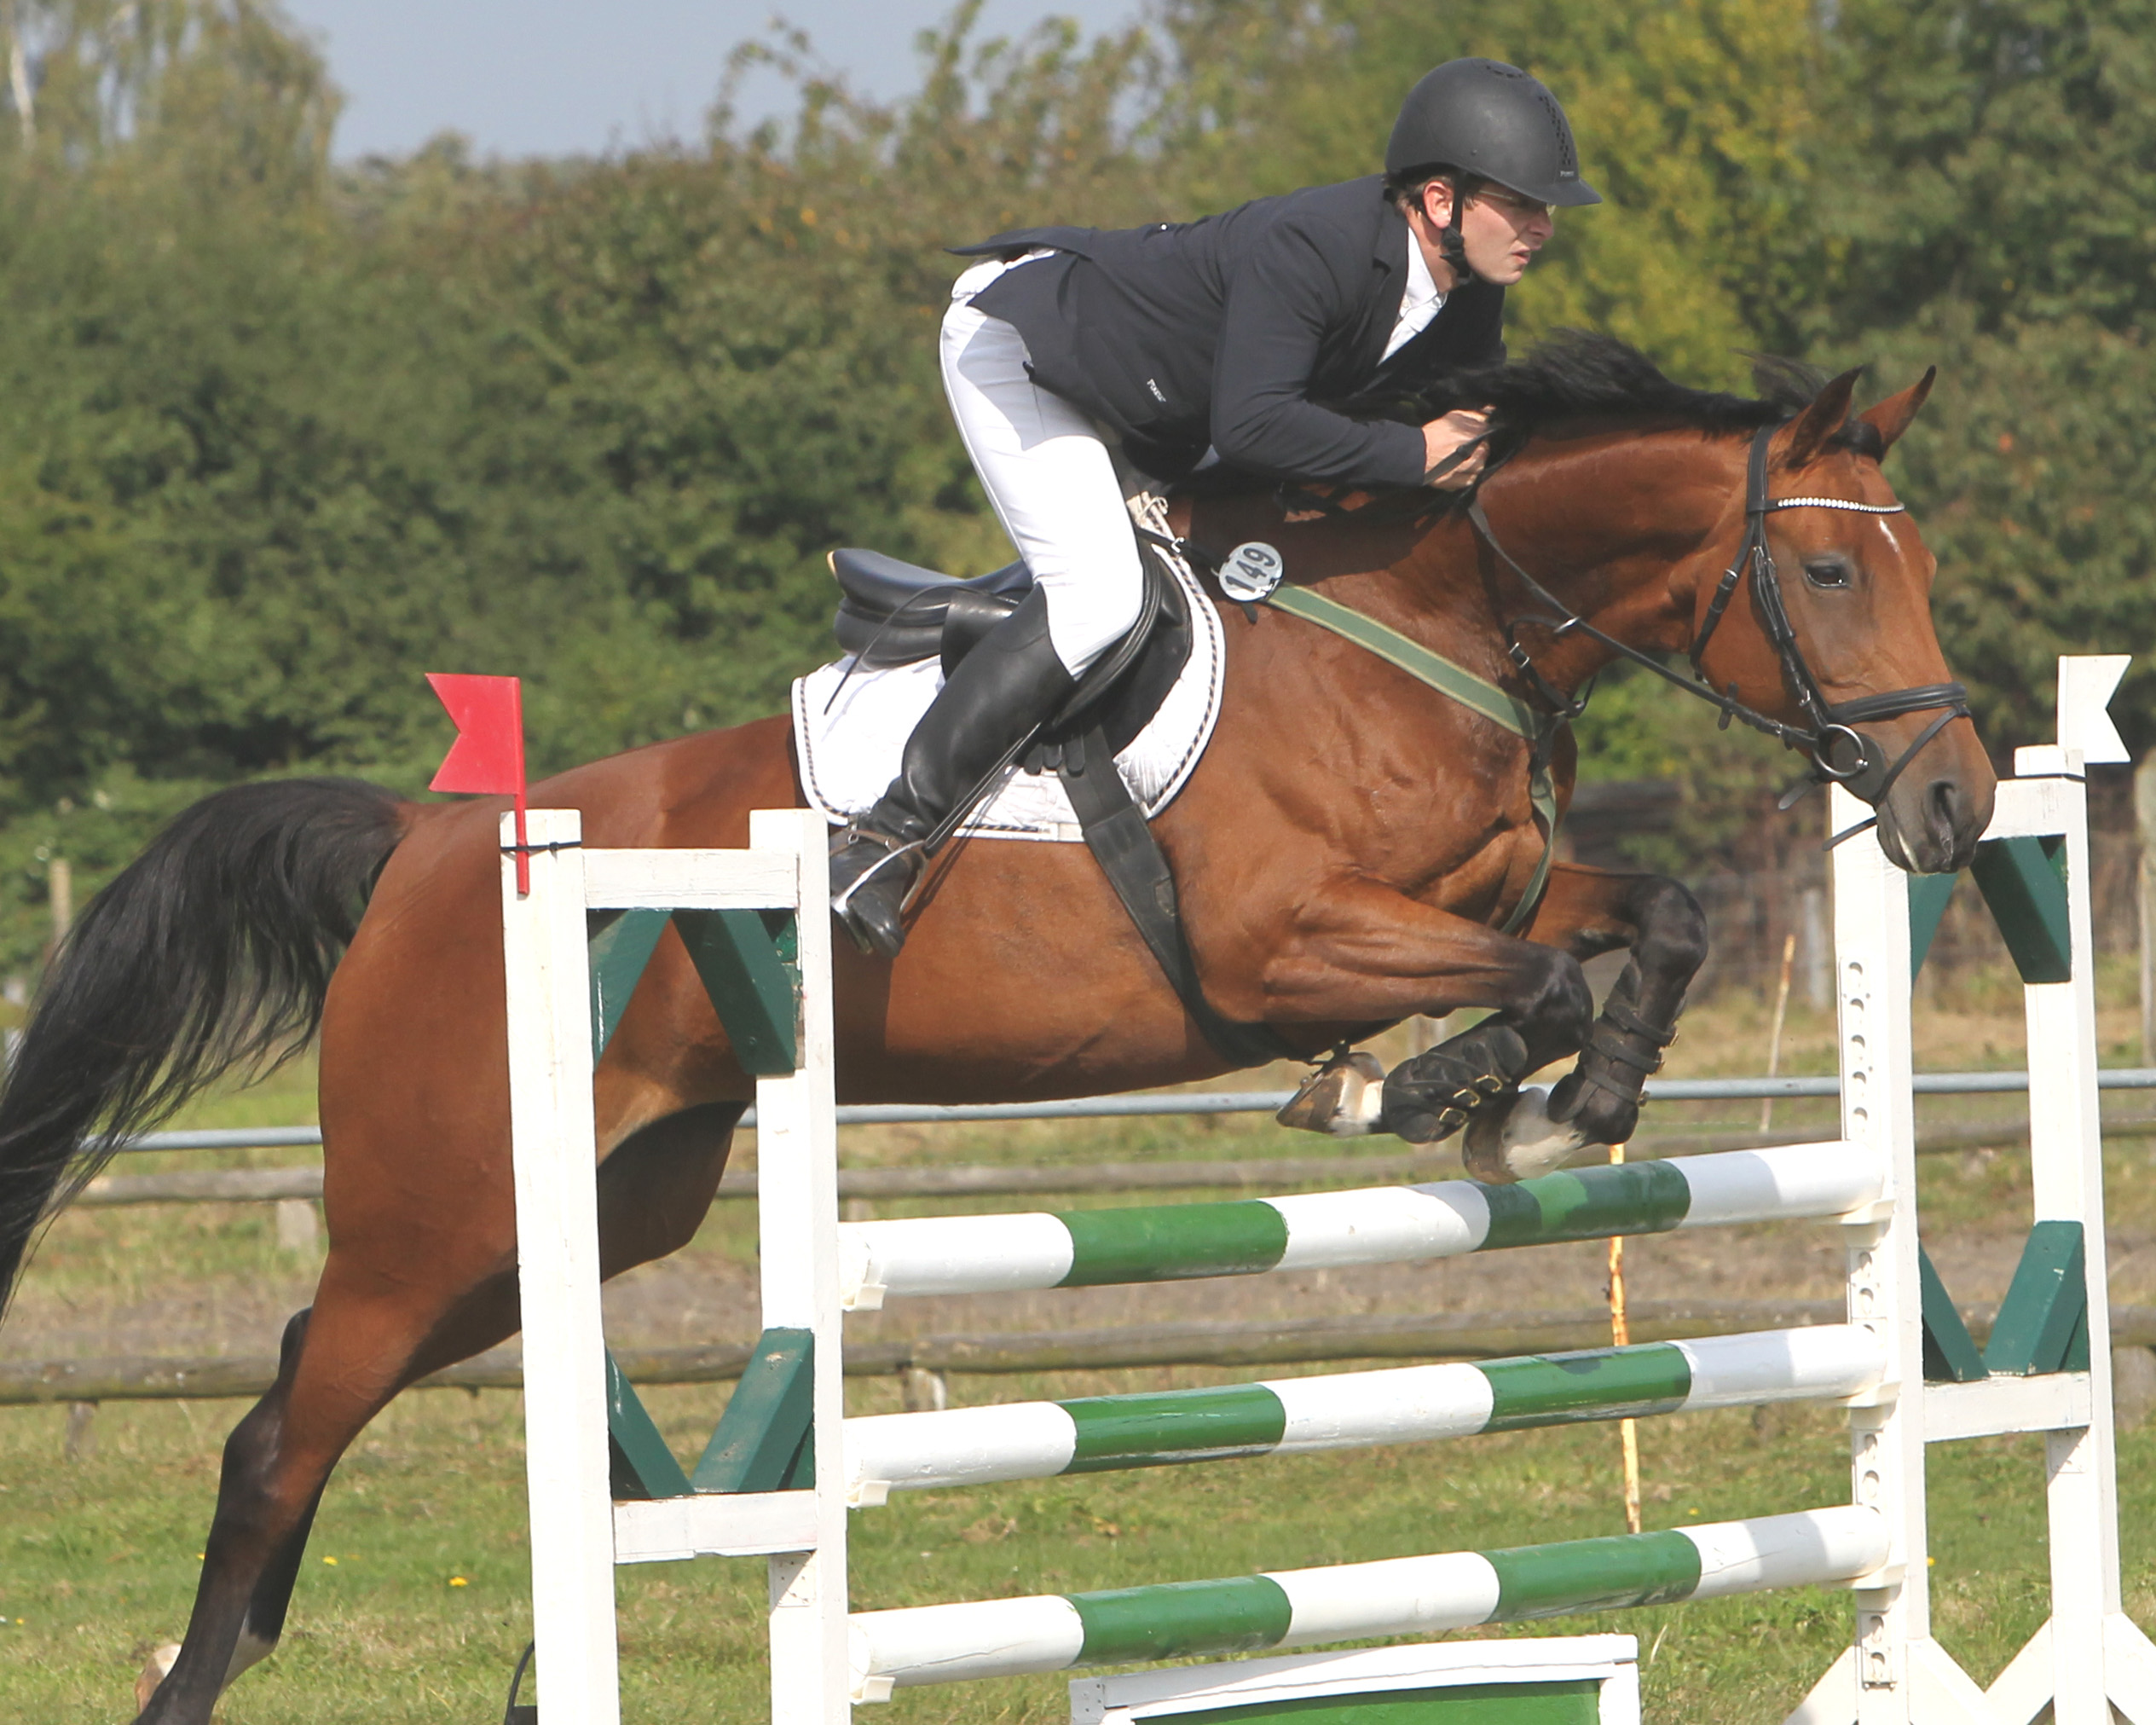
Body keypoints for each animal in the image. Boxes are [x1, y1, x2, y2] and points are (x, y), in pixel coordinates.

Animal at [0, 329, 1983, 1716]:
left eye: (1914, 567)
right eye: (1825, 576)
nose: (1953, 802)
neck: (1422, 620)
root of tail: (429, 846)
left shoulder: (1483, 894)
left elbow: (1655, 918)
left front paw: (1569, 1099)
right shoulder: (1280, 946)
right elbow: (1530, 981)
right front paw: (1440, 1092)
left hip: (587, 1209)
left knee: (297, 1383)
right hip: (442, 1206)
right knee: (279, 1431)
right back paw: (189, 1684)